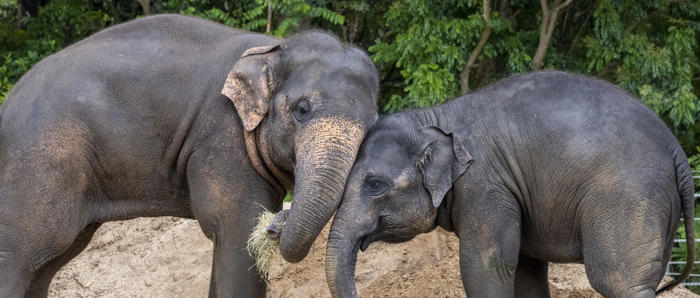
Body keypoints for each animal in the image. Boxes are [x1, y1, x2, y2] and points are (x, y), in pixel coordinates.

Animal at [0, 13, 378, 296]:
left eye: (373, 126)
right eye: (301, 110)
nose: (275, 227)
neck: (271, 47)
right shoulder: (220, 138)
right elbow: (236, 231)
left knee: (48, 261)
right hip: (38, 161)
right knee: (21, 253)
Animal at [324, 71, 696, 298]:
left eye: (374, 184)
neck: (436, 116)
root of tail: (677, 151)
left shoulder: (486, 185)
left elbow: (486, 265)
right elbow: (526, 269)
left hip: (629, 199)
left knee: (617, 281)